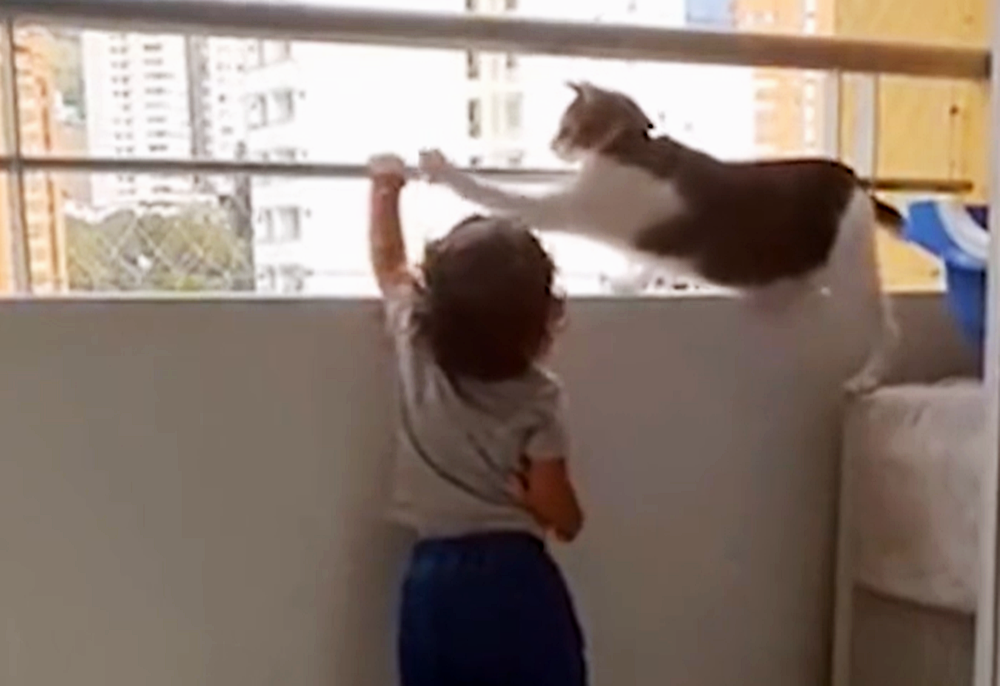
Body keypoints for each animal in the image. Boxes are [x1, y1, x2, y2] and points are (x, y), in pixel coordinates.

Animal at [418, 81, 903, 395]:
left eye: (565, 125)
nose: (553, 144)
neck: (628, 147)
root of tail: (855, 181)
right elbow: (644, 264)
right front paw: (627, 282)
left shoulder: (566, 207)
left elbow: (497, 193)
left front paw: (444, 169)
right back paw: (774, 297)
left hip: (850, 274)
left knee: (884, 324)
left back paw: (868, 376)